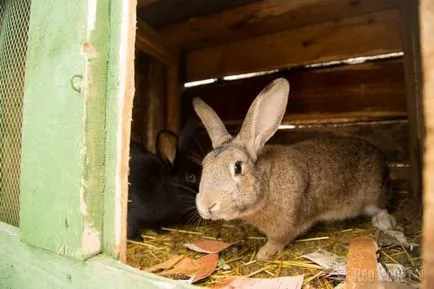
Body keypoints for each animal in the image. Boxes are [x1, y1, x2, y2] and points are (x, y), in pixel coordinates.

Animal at [193, 77, 396, 258]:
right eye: (204, 165)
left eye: (237, 167)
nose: (206, 206)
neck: (268, 182)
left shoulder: (287, 225)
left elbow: (279, 240)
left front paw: (265, 252)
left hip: (372, 193)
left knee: (382, 205)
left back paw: (385, 222)